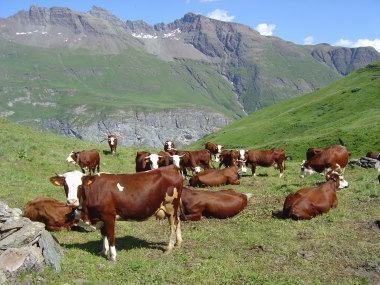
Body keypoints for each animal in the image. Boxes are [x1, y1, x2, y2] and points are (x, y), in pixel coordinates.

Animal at [49, 165, 184, 260]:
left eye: (80, 185)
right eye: (65, 185)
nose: (71, 201)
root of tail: (172, 167)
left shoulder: (109, 216)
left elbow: (110, 235)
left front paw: (113, 256)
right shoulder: (101, 217)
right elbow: (103, 234)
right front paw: (103, 251)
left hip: (171, 206)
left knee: (173, 225)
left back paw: (169, 247)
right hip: (173, 208)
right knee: (178, 222)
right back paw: (178, 243)